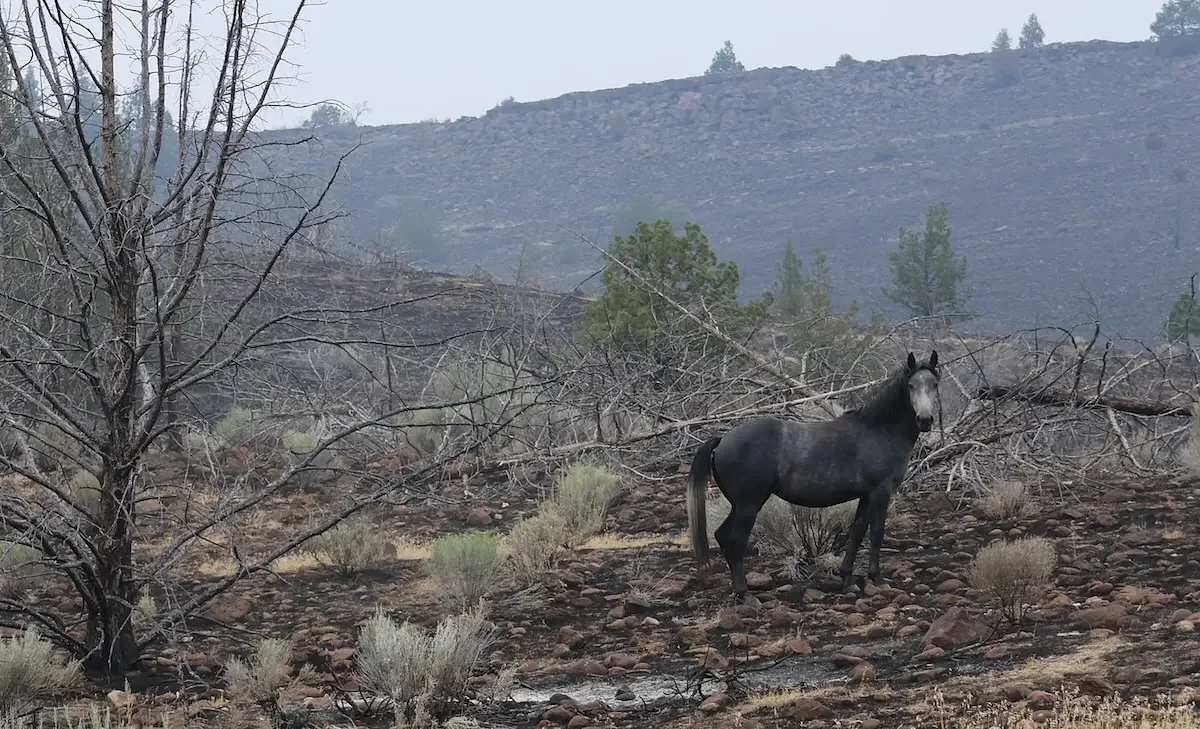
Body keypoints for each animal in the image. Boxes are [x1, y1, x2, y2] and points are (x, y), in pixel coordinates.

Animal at [686, 350, 940, 600]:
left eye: (934, 384)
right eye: (911, 386)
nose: (925, 420)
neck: (879, 430)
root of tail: (722, 440)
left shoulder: (866, 496)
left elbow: (857, 533)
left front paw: (847, 580)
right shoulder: (880, 492)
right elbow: (876, 534)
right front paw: (877, 578)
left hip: (739, 505)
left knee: (722, 536)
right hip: (749, 504)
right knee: (735, 541)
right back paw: (745, 594)